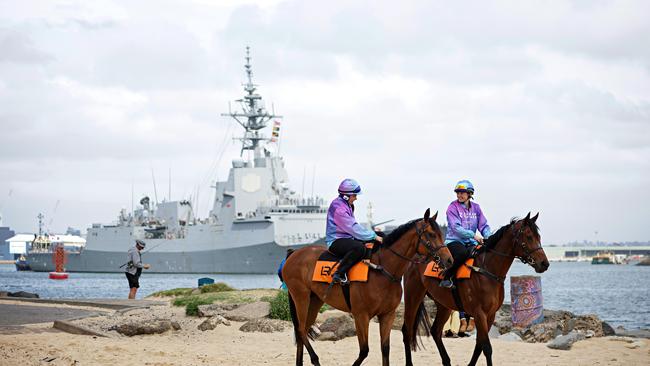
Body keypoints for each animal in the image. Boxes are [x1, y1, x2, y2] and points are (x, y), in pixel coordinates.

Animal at [280, 209, 454, 366]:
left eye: (440, 233)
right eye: (431, 234)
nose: (449, 260)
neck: (382, 270)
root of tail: (293, 253)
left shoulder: (387, 315)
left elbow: (385, 349)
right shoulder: (361, 316)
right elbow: (364, 351)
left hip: (315, 300)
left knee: (303, 330)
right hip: (301, 297)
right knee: (301, 329)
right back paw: (315, 359)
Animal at [400, 212, 548, 366]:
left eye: (538, 237)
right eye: (529, 237)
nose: (545, 263)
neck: (486, 270)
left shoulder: (490, 315)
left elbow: (479, 346)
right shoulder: (479, 313)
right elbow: (487, 347)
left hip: (444, 305)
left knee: (435, 331)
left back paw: (447, 360)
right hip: (413, 297)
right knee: (407, 330)